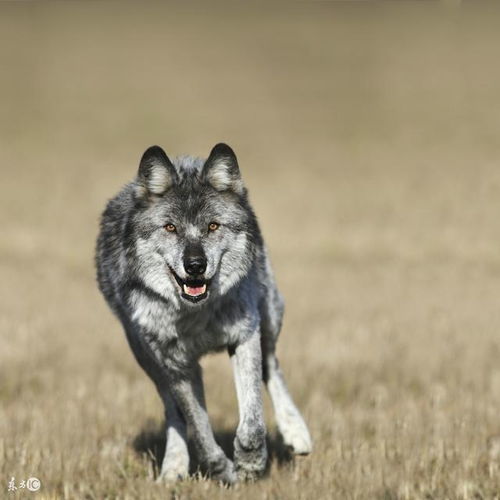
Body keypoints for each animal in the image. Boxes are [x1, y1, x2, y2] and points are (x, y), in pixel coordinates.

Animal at [95, 144, 310, 484]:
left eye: (213, 226)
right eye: (170, 227)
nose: (195, 265)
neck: (195, 315)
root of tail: (187, 160)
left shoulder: (244, 337)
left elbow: (252, 421)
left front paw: (250, 464)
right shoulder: (176, 366)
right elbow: (198, 430)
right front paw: (224, 470)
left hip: (270, 317)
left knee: (272, 366)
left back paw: (296, 432)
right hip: (148, 360)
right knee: (173, 411)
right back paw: (173, 466)